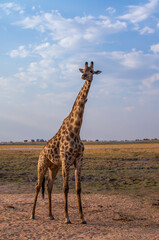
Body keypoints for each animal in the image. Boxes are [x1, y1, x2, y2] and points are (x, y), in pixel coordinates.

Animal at [30, 61, 101, 223]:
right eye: (84, 70)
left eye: (92, 71)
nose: (84, 76)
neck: (76, 130)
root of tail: (41, 151)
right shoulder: (66, 160)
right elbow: (65, 188)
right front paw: (67, 217)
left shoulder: (78, 160)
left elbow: (78, 188)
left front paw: (82, 218)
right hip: (42, 164)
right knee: (37, 185)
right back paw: (32, 214)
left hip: (54, 166)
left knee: (48, 185)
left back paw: (51, 215)